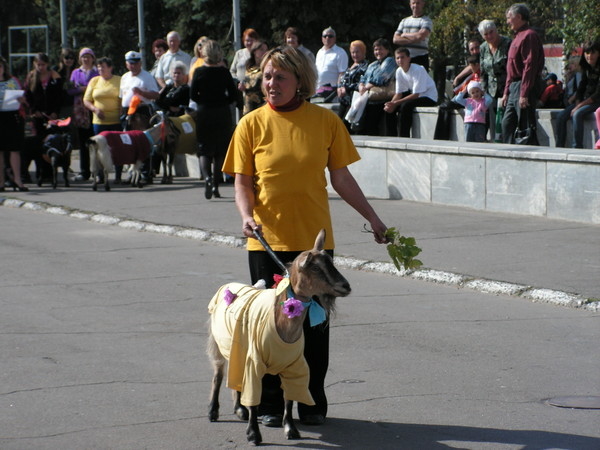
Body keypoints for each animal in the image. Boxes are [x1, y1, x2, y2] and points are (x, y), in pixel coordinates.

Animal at [207, 230, 352, 444]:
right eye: (316, 267)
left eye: (330, 262)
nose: (346, 286)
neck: (282, 324)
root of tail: (228, 287)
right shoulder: (254, 362)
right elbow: (254, 399)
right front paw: (254, 435)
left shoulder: (294, 364)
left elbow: (289, 399)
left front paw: (291, 429)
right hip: (218, 343)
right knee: (218, 375)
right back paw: (213, 412)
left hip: (237, 349)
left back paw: (239, 410)